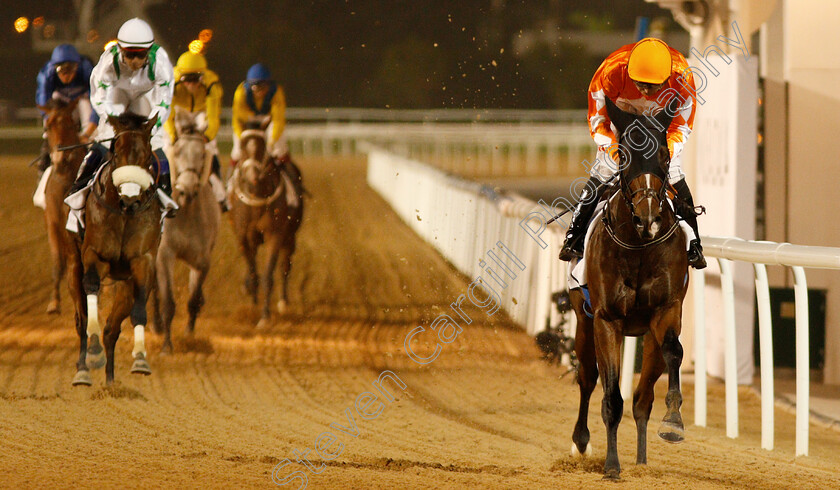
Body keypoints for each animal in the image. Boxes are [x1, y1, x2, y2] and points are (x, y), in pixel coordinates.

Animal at [68, 112, 162, 386]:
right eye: (116, 153)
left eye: (146, 156)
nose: (130, 199)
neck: (124, 214)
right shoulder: (94, 255)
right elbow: (91, 291)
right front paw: (93, 350)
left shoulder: (143, 261)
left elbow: (139, 311)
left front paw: (140, 358)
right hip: (73, 265)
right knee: (81, 320)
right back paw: (84, 368)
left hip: (125, 282)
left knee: (112, 329)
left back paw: (110, 382)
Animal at [230, 128, 306, 328]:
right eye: (243, 148)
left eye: (262, 147)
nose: (252, 177)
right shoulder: (244, 236)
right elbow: (252, 270)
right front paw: (253, 305)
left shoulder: (275, 235)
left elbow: (268, 274)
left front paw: (265, 316)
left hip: (290, 237)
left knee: (285, 266)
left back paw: (284, 303)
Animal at [572, 97, 688, 480]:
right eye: (623, 155)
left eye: (664, 156)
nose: (648, 217)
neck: (639, 246)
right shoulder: (606, 319)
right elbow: (610, 396)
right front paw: (611, 465)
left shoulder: (666, 311)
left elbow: (674, 352)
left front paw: (674, 421)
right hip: (583, 321)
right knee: (588, 378)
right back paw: (581, 441)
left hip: (646, 335)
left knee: (642, 399)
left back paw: (641, 458)